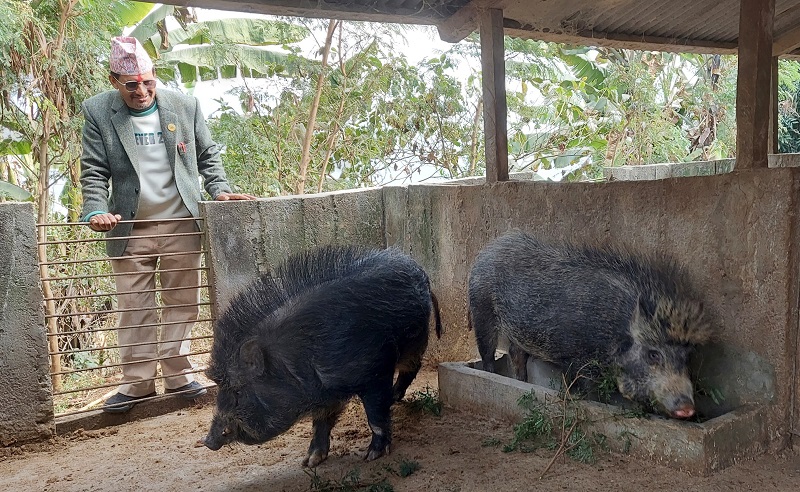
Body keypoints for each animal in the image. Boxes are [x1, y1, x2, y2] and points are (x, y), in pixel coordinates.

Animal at [203, 246, 444, 466]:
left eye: (237, 391)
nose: (207, 441)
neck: (295, 361)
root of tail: (419, 270)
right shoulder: (325, 393)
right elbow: (321, 422)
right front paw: (309, 462)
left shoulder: (375, 371)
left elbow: (375, 416)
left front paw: (372, 456)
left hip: (416, 339)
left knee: (412, 367)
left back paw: (394, 397)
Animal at [466, 231, 716, 418]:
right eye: (653, 354)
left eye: (687, 357)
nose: (688, 408)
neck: (615, 330)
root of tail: (488, 249)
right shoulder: (575, 359)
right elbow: (581, 390)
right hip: (482, 309)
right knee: (488, 351)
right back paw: (492, 374)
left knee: (516, 353)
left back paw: (522, 382)